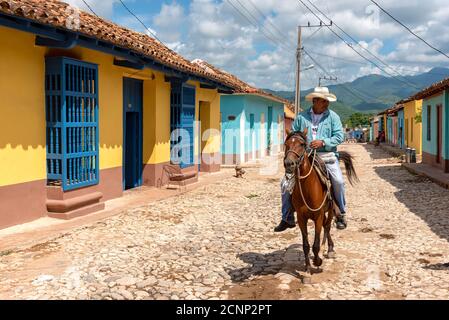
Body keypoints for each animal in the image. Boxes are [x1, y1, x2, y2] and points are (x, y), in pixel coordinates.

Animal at [284, 129, 356, 276]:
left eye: (302, 144)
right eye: (286, 144)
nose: (289, 164)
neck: (307, 188)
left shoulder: (318, 216)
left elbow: (316, 244)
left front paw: (317, 261)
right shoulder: (301, 218)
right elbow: (306, 245)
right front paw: (306, 268)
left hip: (331, 210)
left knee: (327, 227)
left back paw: (329, 249)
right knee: (325, 227)